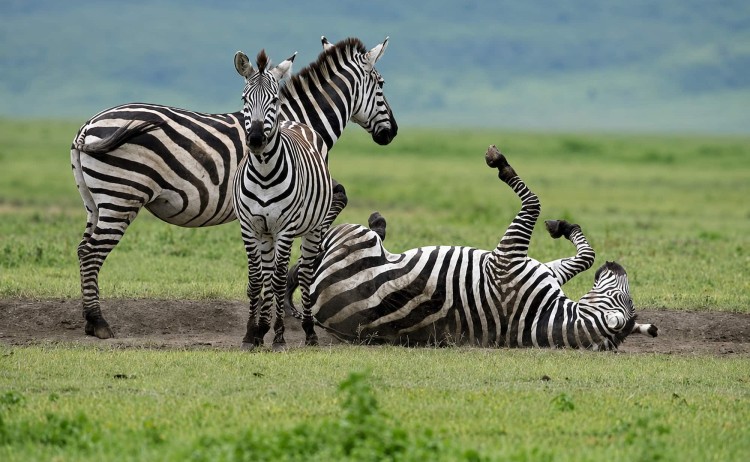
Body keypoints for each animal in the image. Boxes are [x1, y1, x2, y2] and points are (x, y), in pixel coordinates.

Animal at [70, 37, 397, 339]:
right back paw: (99, 323)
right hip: (121, 196)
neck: (298, 122)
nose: (391, 133)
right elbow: (336, 200)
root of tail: (88, 125)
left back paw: (88, 320)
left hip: (94, 202)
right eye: (381, 84)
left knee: (83, 249)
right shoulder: (309, 187)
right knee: (93, 252)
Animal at [287, 145, 658, 351]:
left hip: (352, 240)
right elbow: (583, 255)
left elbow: (533, 202)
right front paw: (563, 227)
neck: (545, 315)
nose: (617, 265)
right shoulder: (535, 267)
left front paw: (500, 164)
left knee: (319, 243)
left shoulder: (507, 258)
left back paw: (354, 207)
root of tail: (322, 314)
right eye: (626, 296)